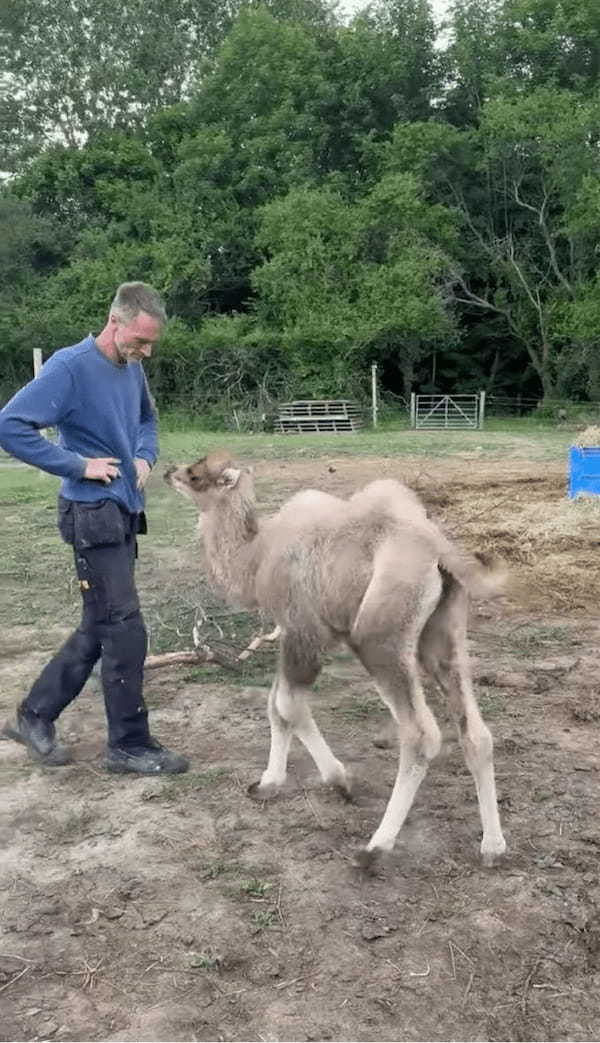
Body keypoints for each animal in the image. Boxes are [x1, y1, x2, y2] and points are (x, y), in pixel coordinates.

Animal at [165, 452, 507, 867]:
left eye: (196, 474)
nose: (168, 472)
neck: (256, 556)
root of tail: (438, 549)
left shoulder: (304, 632)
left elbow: (287, 706)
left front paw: (340, 780)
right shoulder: (291, 634)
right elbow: (275, 706)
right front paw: (267, 784)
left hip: (379, 637)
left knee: (421, 734)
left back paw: (374, 848)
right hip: (442, 634)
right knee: (476, 732)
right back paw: (492, 846)